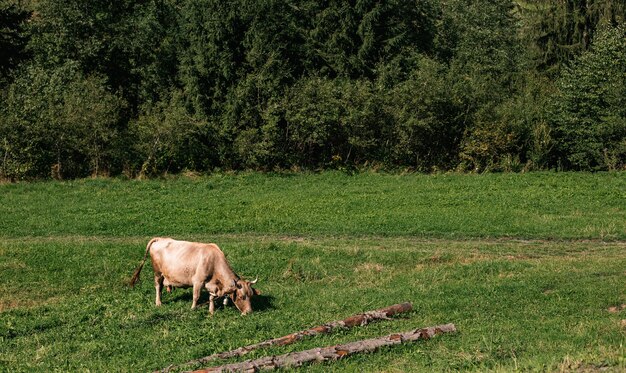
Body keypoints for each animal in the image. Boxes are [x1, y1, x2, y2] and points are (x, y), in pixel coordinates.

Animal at [129, 237, 258, 312]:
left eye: (251, 295)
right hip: (157, 272)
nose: (249, 312)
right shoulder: (198, 281)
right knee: (157, 286)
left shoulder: (211, 284)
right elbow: (196, 296)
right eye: (241, 297)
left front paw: (211, 312)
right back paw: (158, 303)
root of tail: (160, 238)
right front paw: (193, 308)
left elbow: (211, 297)